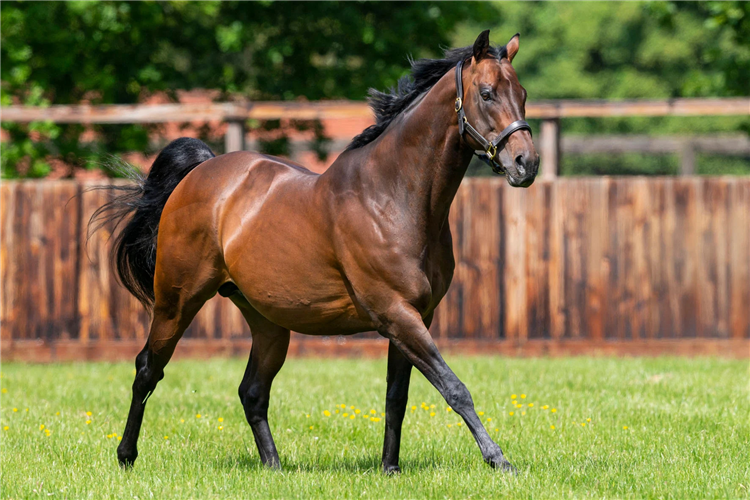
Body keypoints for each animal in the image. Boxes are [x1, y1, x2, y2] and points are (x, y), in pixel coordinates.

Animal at [92, 29, 540, 474]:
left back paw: (274, 467)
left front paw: (390, 469)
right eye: (486, 93)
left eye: (522, 93)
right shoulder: (397, 315)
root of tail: (200, 172)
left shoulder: (417, 317)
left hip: (267, 322)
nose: (526, 163)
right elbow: (454, 388)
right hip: (177, 302)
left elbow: (397, 397)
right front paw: (500, 461)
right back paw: (126, 455)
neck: (393, 198)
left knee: (252, 391)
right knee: (148, 369)